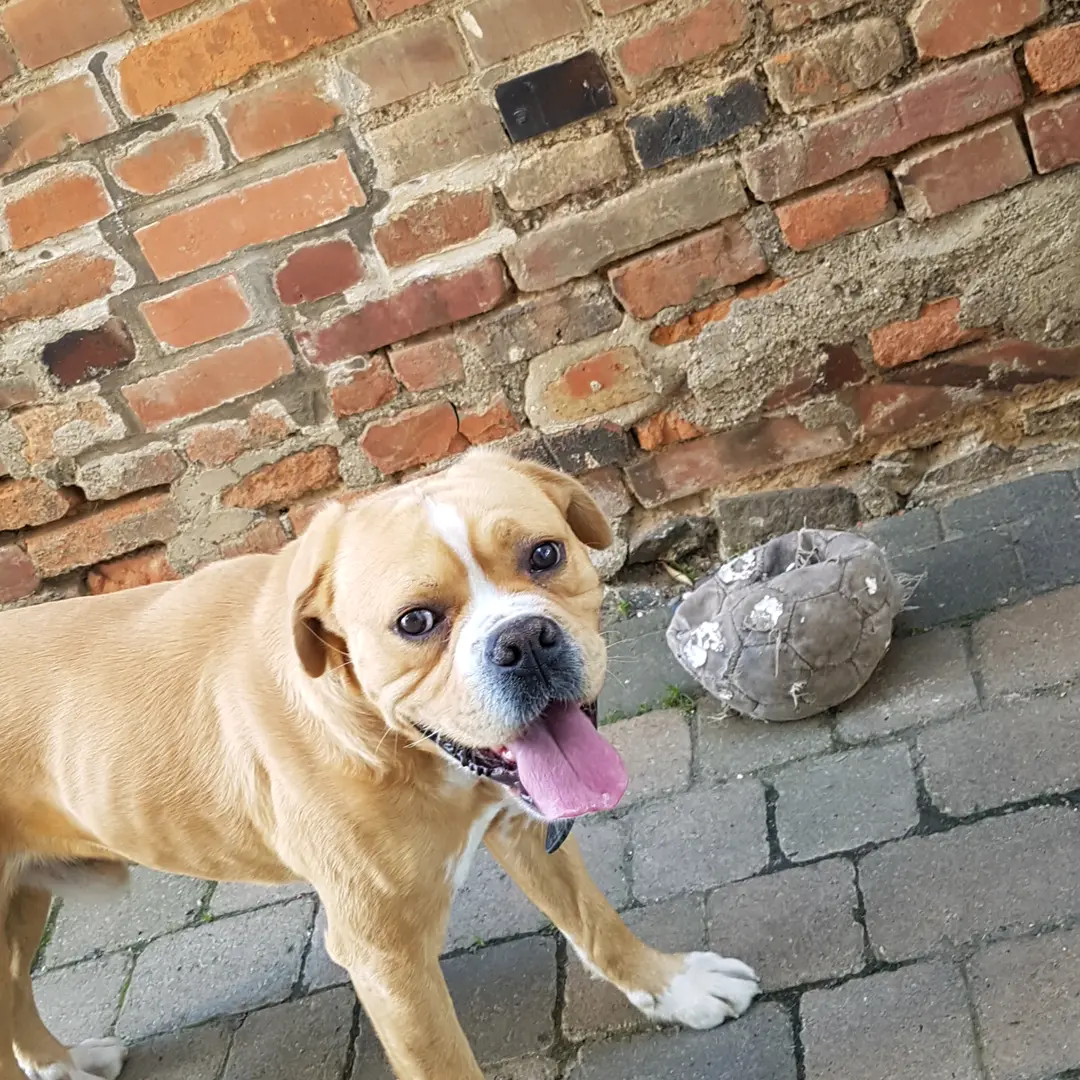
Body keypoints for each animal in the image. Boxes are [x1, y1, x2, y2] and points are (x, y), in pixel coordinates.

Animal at [0, 449, 759, 1079]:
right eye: (415, 622)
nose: (524, 640)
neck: (390, 741)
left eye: (544, 553)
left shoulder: (524, 825)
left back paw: (63, 1062)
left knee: (14, 996)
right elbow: (445, 1063)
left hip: (21, 908)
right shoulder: (386, 956)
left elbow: (597, 922)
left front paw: (672, 987)